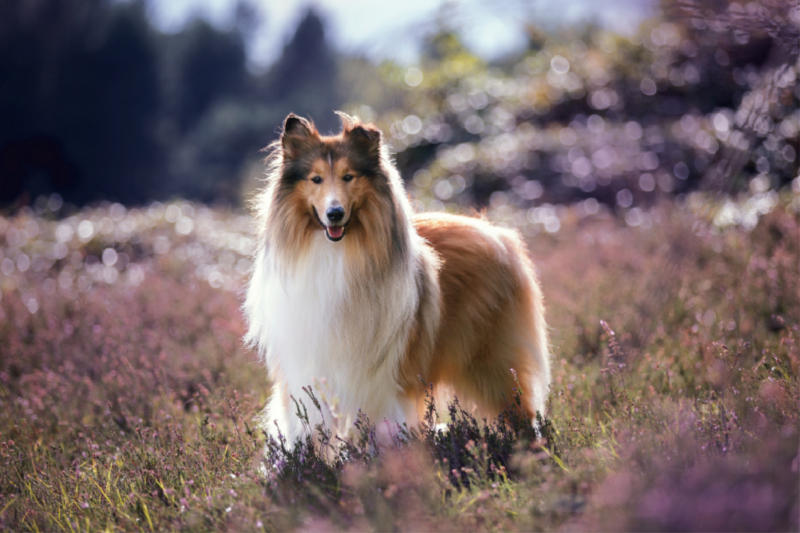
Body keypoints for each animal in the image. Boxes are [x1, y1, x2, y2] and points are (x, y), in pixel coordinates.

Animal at [244, 112, 552, 444]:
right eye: (316, 179)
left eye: (348, 177)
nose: (335, 213)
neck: (337, 254)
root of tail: (498, 233)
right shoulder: (305, 369)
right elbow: (303, 425)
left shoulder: (384, 378)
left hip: (491, 364)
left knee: (522, 412)